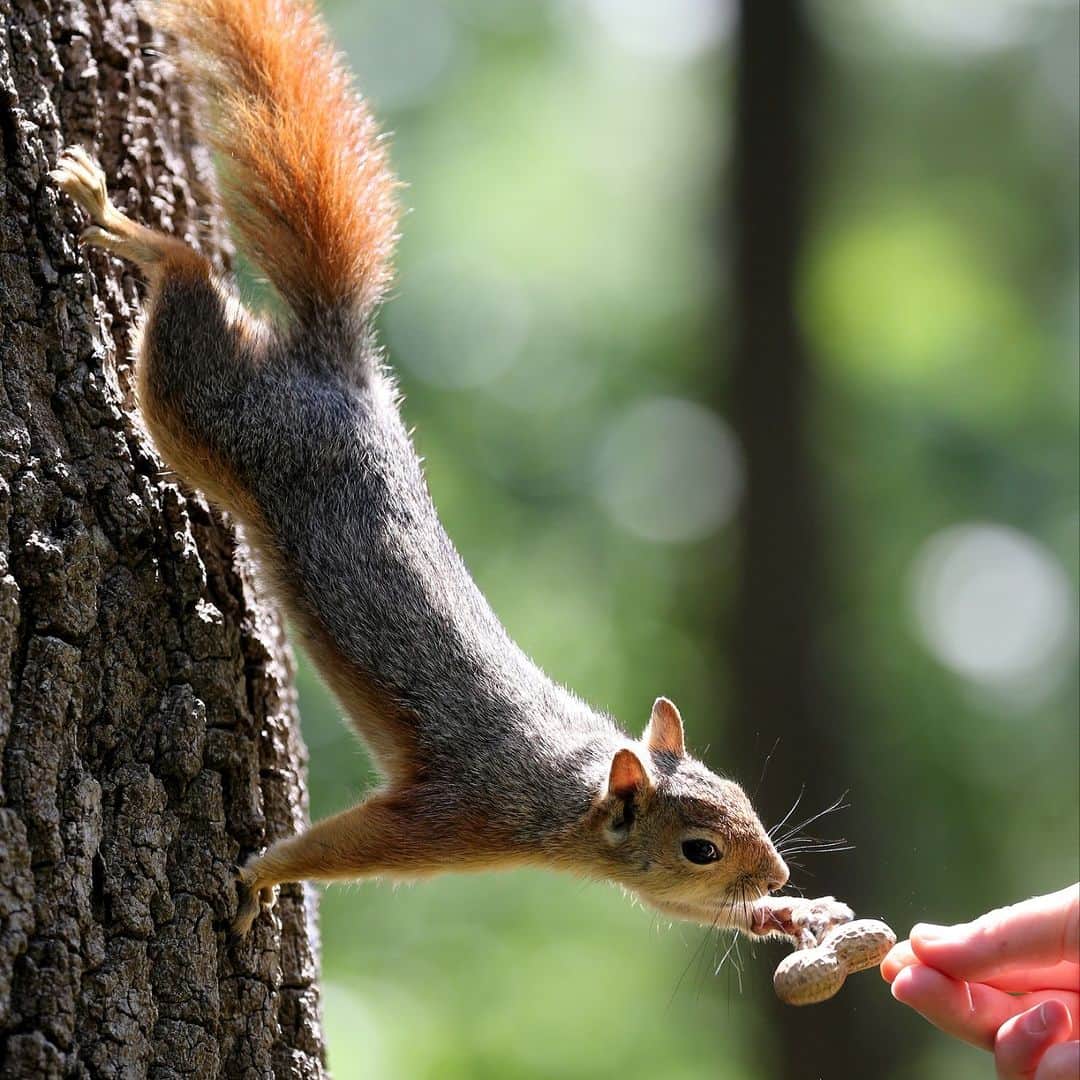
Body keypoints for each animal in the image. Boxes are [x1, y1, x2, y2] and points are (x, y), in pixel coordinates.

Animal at [51, 0, 790, 941]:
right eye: (701, 848)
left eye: (742, 796)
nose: (776, 874)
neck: (574, 788)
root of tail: (341, 370)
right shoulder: (461, 813)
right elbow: (349, 844)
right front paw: (262, 876)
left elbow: (665, 904)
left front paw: (786, 919)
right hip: (208, 412)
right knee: (183, 287)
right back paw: (114, 215)